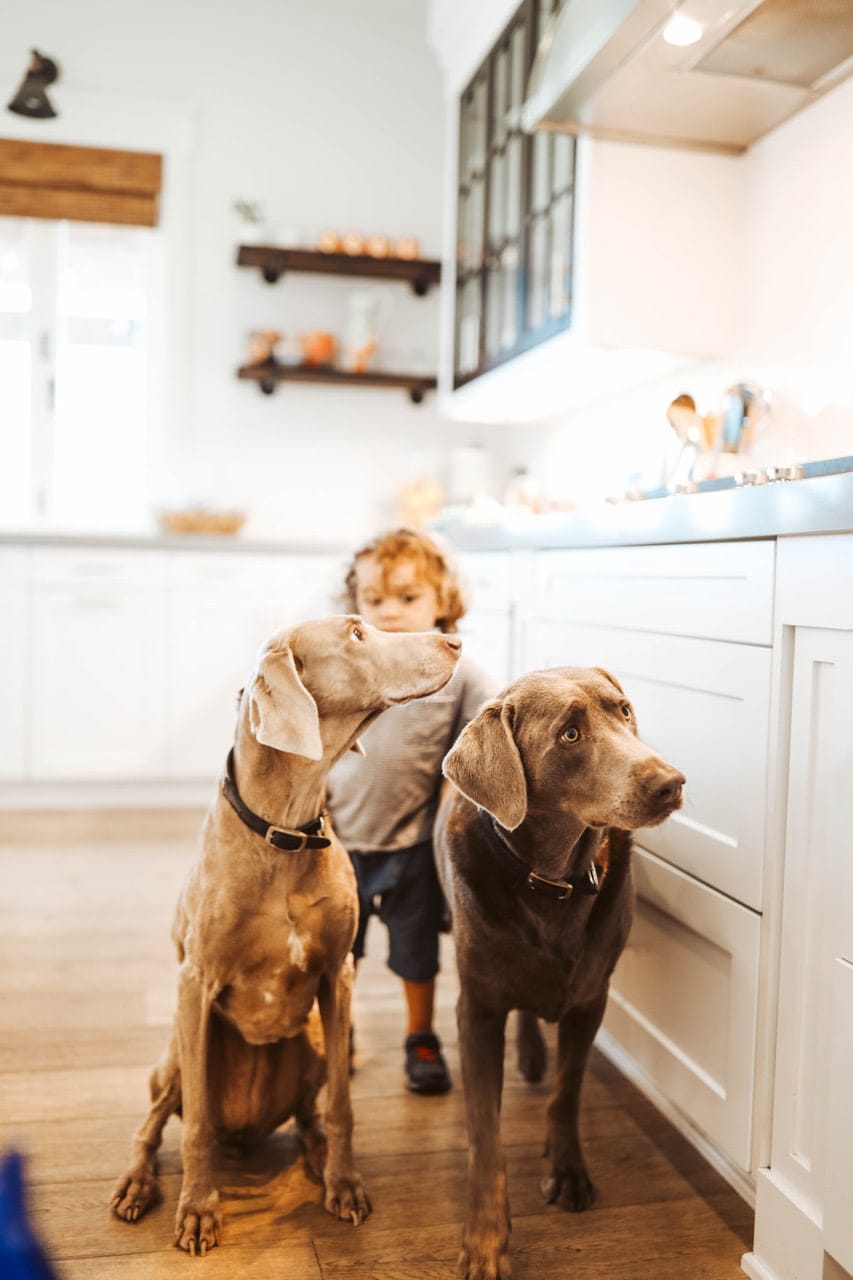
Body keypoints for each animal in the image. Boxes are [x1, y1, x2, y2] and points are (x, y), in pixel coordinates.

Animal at [112, 614, 461, 1254]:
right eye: (356, 634)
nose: (455, 639)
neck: (285, 830)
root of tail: (243, 1135)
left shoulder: (337, 974)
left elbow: (343, 1107)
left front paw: (345, 1182)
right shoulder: (195, 982)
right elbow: (194, 1126)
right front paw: (198, 1208)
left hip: (317, 1041)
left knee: (309, 1116)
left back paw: (320, 1159)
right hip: (175, 1052)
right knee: (157, 1123)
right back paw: (137, 1184)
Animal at [435, 670, 681, 1280]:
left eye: (624, 710)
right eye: (570, 734)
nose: (672, 783)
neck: (551, 882)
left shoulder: (592, 997)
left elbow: (567, 1092)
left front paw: (567, 1169)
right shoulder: (477, 1009)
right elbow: (486, 1133)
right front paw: (486, 1240)